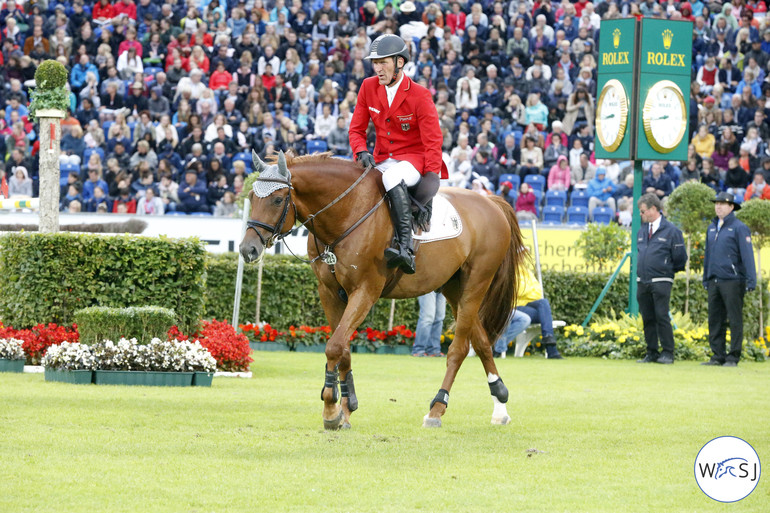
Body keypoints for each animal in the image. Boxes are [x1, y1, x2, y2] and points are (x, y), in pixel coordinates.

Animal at [240, 150, 524, 430]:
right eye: (252, 197)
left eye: (277, 200)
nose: (247, 249)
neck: (347, 211)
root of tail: (491, 202)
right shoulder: (329, 292)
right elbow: (343, 348)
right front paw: (347, 407)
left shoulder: (365, 291)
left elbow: (335, 346)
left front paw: (331, 408)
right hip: (454, 289)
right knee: (482, 342)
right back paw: (500, 406)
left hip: (475, 285)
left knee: (459, 349)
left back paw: (436, 409)